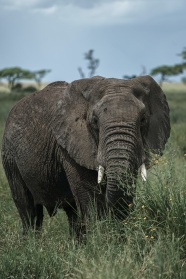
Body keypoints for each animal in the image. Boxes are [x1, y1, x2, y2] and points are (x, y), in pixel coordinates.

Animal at [1, 75, 170, 240]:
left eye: (143, 120)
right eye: (94, 121)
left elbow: (126, 191)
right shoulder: (71, 144)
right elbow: (90, 197)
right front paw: (101, 242)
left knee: (69, 213)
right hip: (9, 153)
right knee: (27, 206)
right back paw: (31, 244)